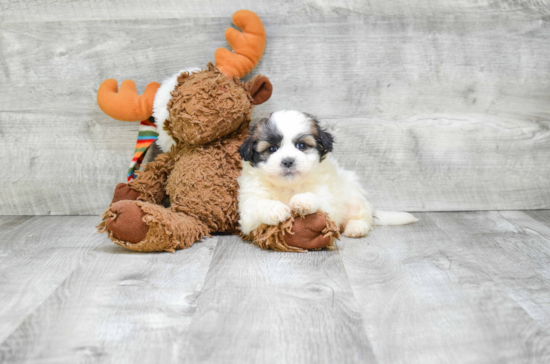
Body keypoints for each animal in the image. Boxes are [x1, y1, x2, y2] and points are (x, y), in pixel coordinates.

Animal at [237, 109, 418, 237]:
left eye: (301, 146)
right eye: (272, 149)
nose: (288, 161)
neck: (289, 186)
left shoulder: (328, 202)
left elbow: (319, 201)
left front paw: (303, 200)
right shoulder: (247, 212)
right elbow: (255, 206)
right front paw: (275, 209)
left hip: (354, 194)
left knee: (363, 216)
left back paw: (356, 227)